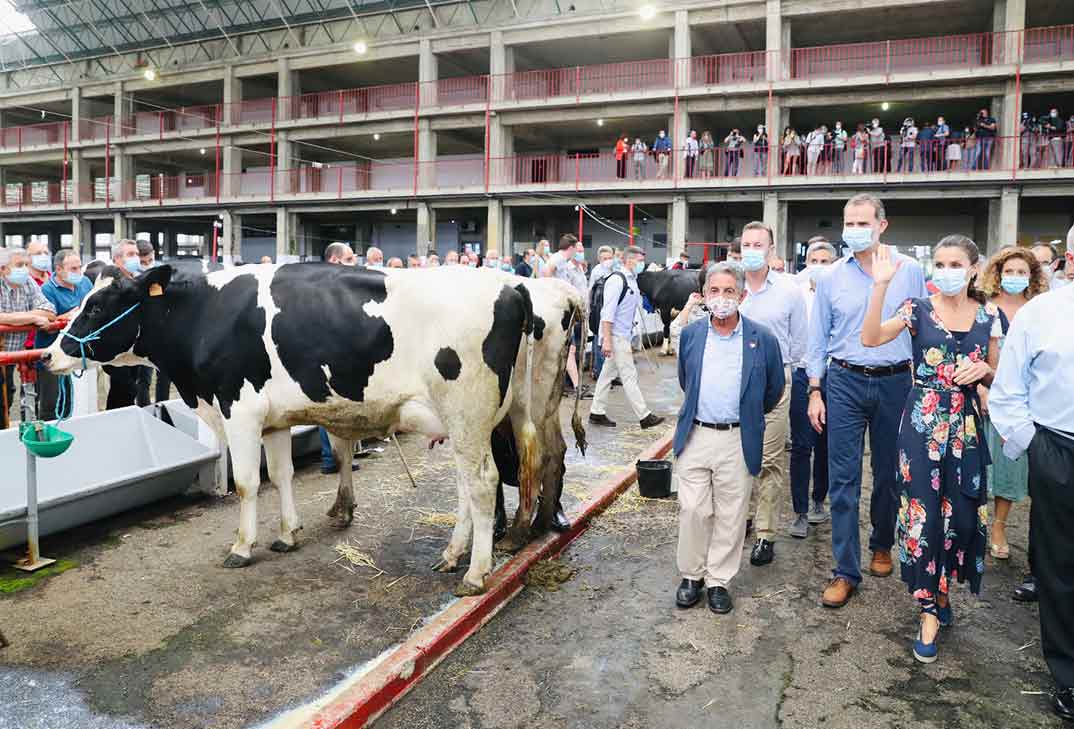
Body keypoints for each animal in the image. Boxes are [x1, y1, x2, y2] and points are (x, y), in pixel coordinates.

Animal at [45, 260, 537, 592]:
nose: (49, 354)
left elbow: (246, 483)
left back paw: (475, 573)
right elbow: (280, 476)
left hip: (467, 414)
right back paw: (452, 556)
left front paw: (242, 547)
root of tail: (510, 286)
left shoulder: (239, 409)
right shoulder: (273, 419)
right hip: (474, 421)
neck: (204, 314)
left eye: (99, 306)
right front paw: (286, 535)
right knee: (468, 485)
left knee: (482, 482)